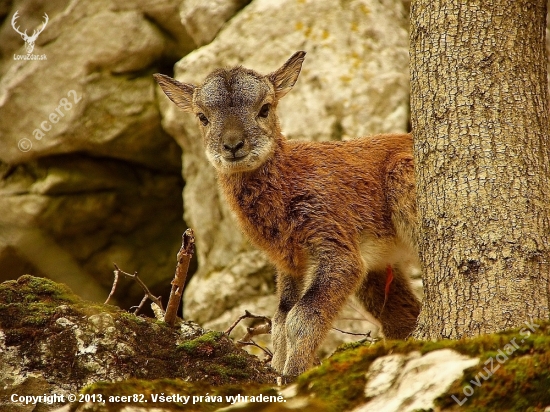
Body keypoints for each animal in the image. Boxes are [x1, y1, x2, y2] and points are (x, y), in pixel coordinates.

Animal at [155, 51, 422, 376]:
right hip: (379, 268)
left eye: (265, 108)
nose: (233, 145)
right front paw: (278, 369)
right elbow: (280, 320)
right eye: (202, 116)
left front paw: (293, 374)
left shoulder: (334, 242)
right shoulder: (290, 263)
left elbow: (300, 317)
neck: (290, 180)